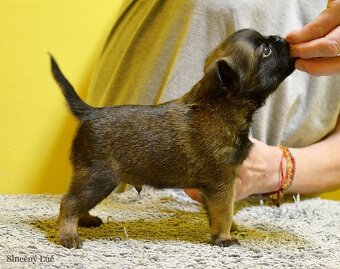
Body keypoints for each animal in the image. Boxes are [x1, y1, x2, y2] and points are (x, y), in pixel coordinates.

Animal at [50, 28, 294, 248]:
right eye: (266, 50)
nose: (280, 38)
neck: (221, 105)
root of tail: (90, 112)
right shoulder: (223, 183)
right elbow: (224, 210)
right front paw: (224, 237)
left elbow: (219, 211)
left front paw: (228, 228)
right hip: (99, 178)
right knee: (69, 204)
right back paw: (68, 235)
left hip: (93, 180)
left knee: (78, 202)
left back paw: (86, 220)